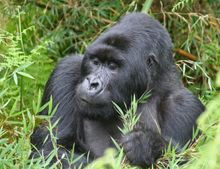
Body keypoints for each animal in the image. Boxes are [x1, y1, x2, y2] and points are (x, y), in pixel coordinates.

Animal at [31, 12, 205, 168]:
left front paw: (147, 145)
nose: (92, 83)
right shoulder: (65, 71)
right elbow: (52, 150)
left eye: (112, 66)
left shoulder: (186, 105)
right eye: (95, 62)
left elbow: (184, 161)